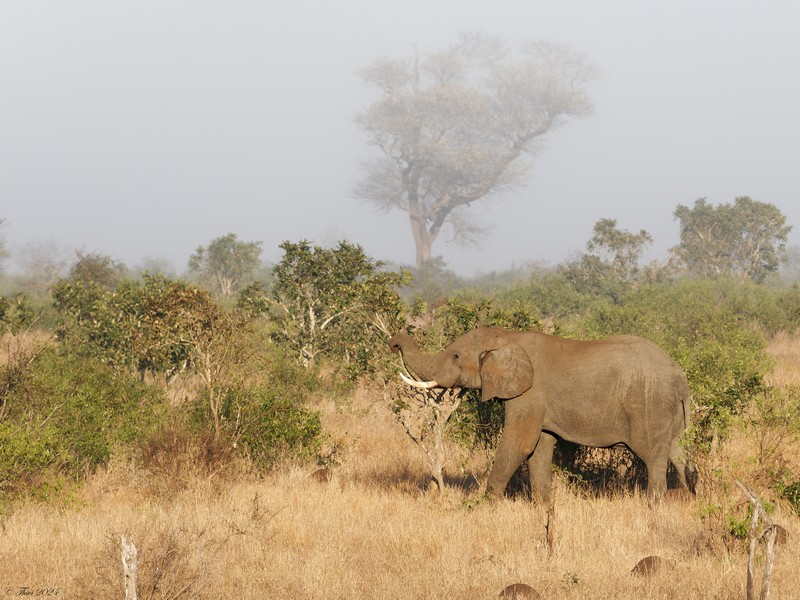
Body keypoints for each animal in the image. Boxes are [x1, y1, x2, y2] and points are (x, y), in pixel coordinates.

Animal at [388, 328, 692, 502]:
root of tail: (680, 377)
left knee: (653, 457)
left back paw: (654, 506)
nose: (394, 344)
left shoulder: (529, 394)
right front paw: (544, 506)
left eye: (455, 357)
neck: (508, 337)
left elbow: (519, 444)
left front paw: (483, 505)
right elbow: (540, 449)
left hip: (649, 405)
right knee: (677, 453)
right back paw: (688, 497)